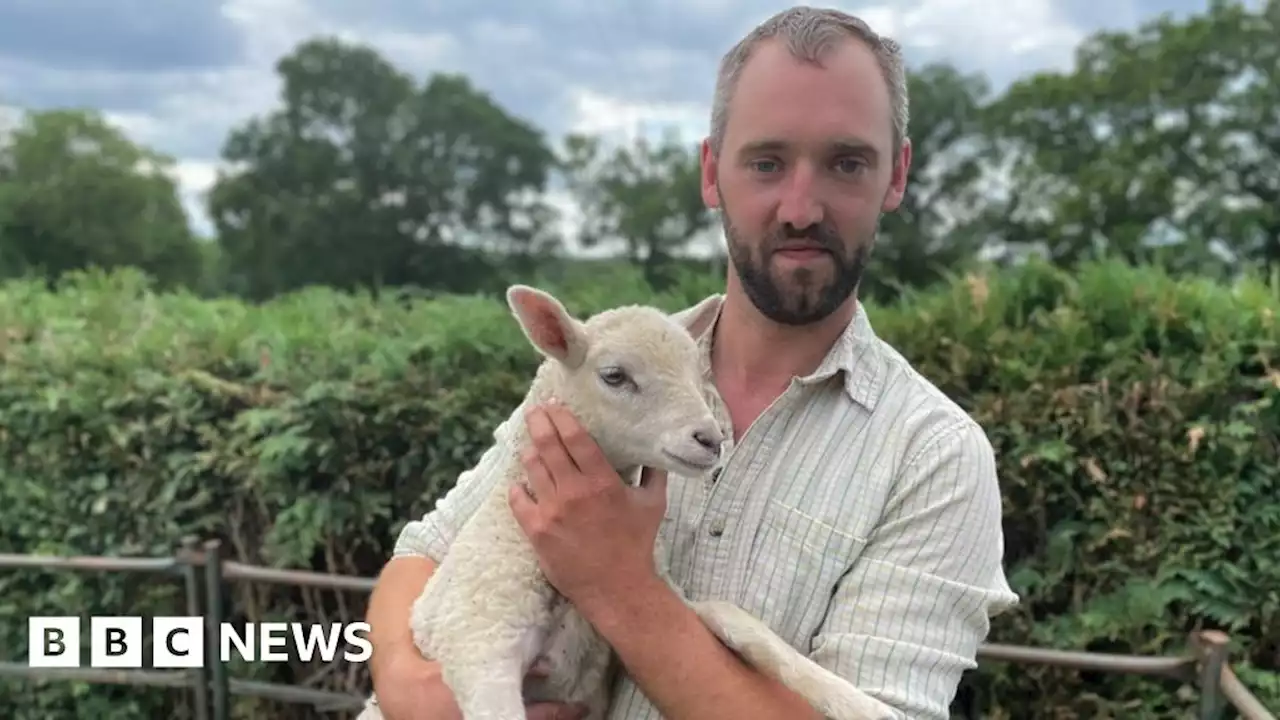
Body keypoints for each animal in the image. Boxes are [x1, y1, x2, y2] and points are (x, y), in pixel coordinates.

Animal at [355, 284, 896, 717]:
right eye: (615, 376)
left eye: (698, 372)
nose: (710, 439)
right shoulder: (478, 643)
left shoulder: (642, 607)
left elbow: (735, 619)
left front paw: (858, 702)